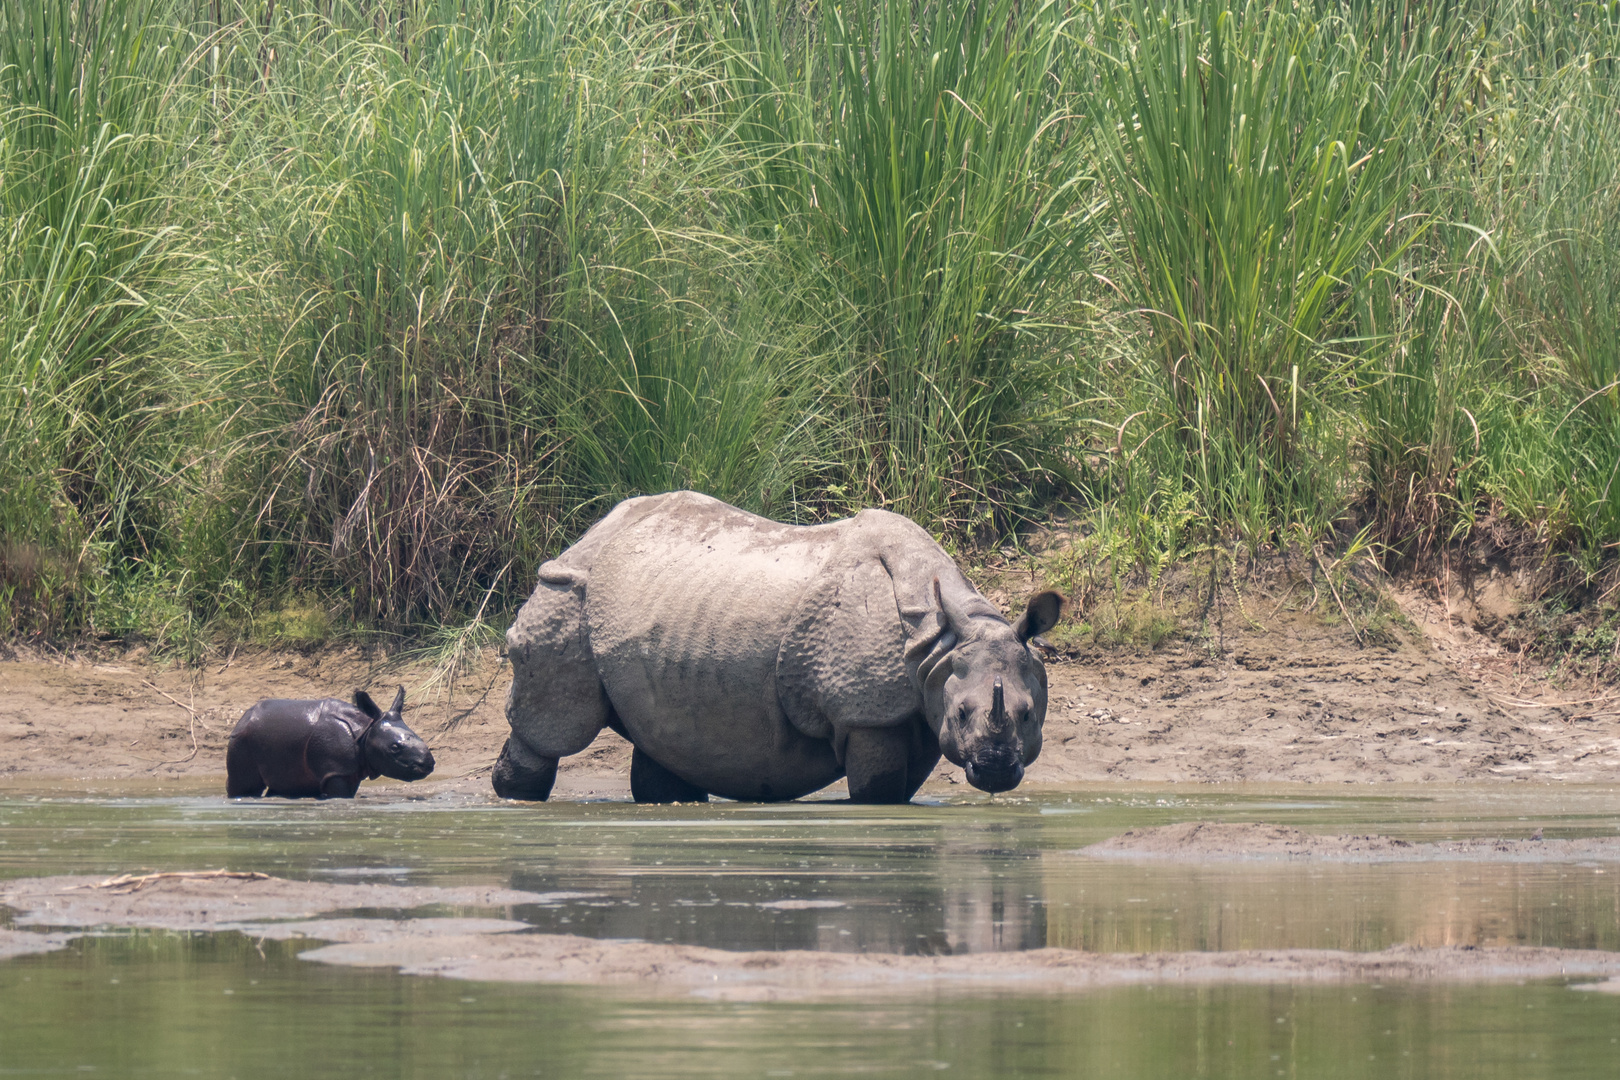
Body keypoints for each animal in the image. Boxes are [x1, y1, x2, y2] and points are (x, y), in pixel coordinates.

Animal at [489, 488, 1062, 803]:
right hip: (570, 591)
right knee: (557, 726)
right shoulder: (866, 710)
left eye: (1029, 715)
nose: (995, 769)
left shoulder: (918, 707)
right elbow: (878, 793)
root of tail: (589, 534)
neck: (942, 638)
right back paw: (517, 798)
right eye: (963, 713)